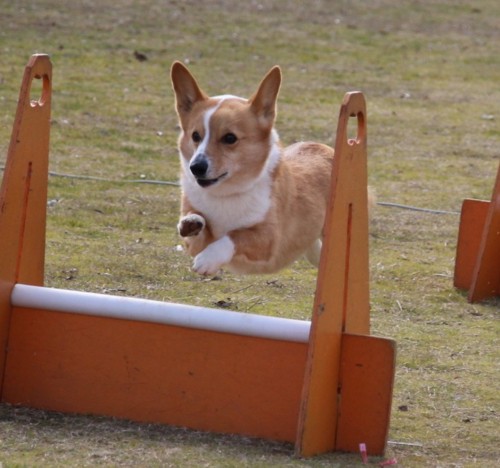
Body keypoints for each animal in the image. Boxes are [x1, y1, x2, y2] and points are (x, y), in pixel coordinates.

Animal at [172, 61, 340, 274]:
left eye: (230, 138)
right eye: (195, 136)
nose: (196, 167)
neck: (226, 194)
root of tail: (323, 147)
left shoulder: (269, 238)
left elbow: (236, 235)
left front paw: (208, 259)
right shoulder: (195, 242)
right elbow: (198, 226)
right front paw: (192, 223)